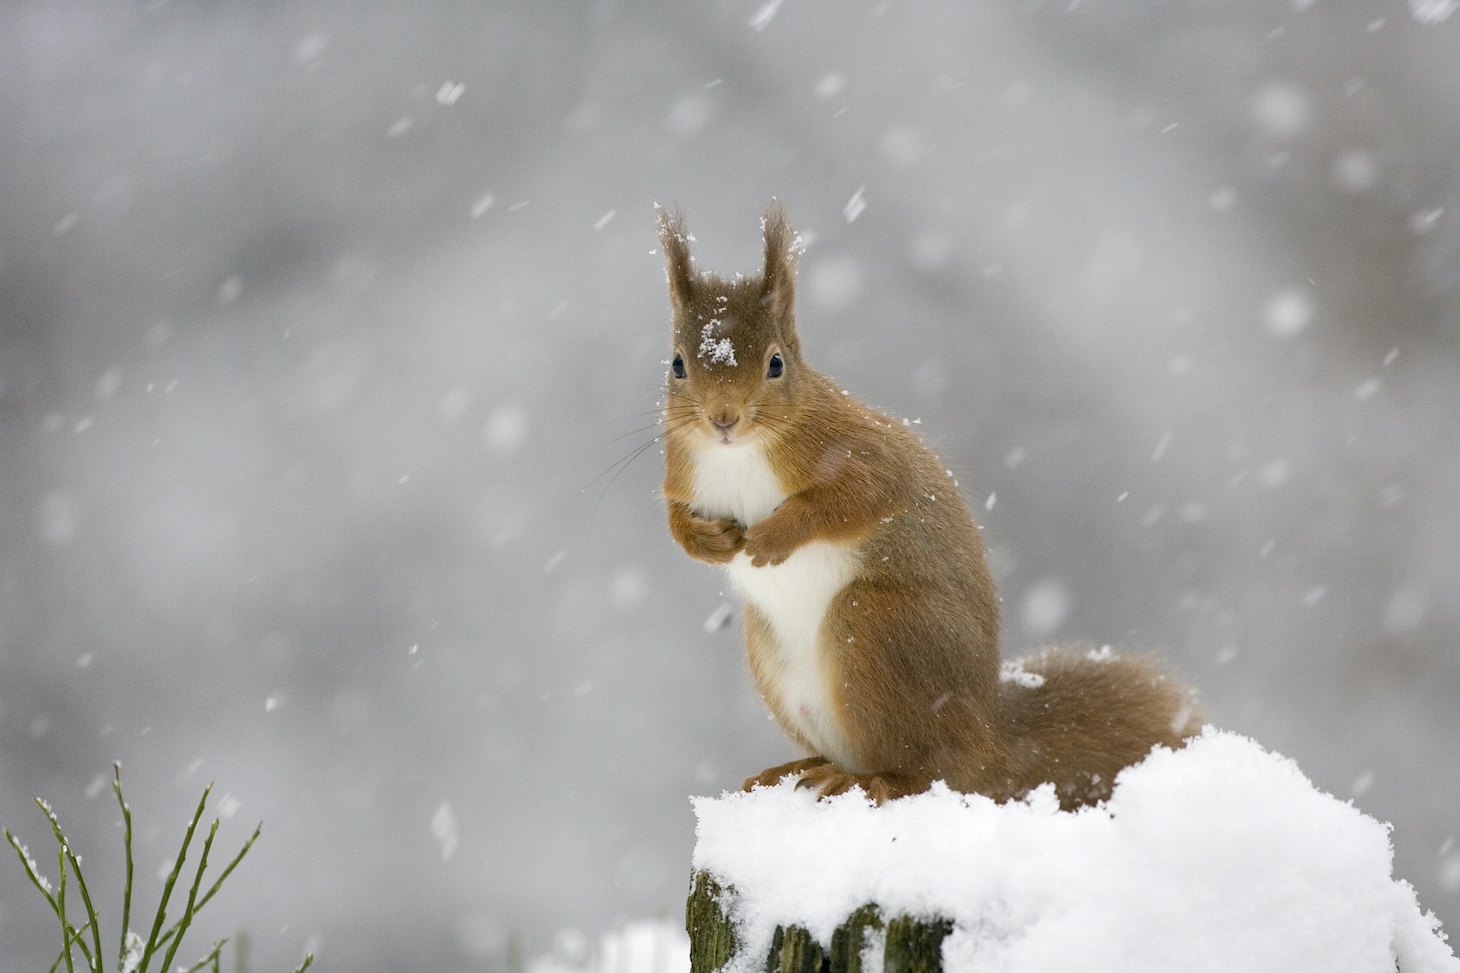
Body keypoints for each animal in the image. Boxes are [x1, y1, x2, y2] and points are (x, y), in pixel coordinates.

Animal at [656, 203, 1203, 809]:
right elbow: (675, 519)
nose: (722, 419)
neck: (738, 455)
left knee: (925, 770)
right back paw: (798, 768)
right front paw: (708, 542)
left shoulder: (857, 456)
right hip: (772, 654)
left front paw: (774, 537)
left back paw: (863, 779)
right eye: (677, 365)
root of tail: (993, 742)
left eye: (776, 364)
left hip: (876, 627)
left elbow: (855, 500)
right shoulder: (681, 473)